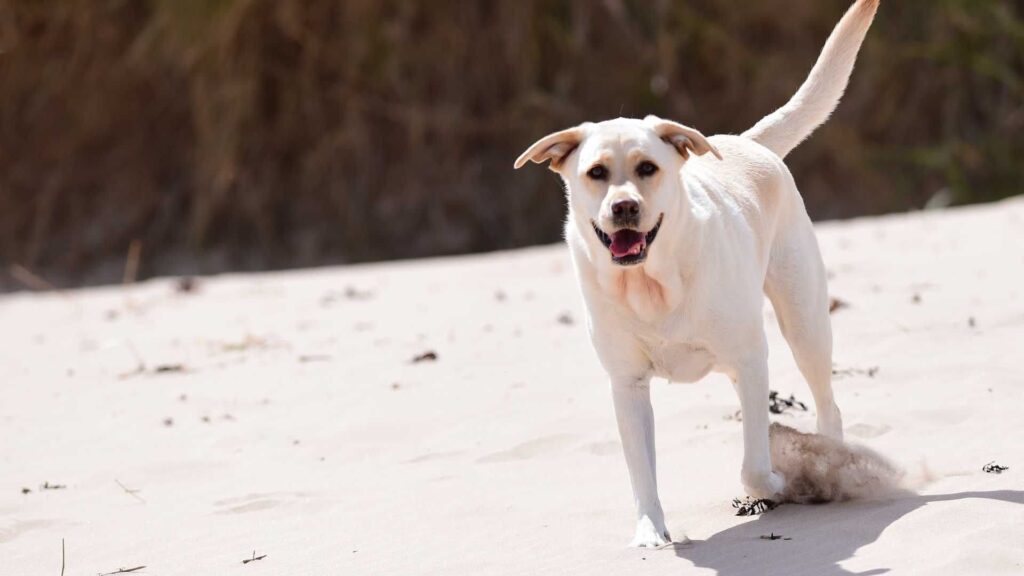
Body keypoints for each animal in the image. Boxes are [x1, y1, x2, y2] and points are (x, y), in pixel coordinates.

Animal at [512, 0, 880, 545]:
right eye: (596, 173)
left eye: (647, 168)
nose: (624, 208)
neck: (650, 284)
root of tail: (747, 142)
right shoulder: (627, 385)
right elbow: (641, 471)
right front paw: (650, 533)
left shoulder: (751, 357)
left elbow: (754, 465)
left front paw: (777, 481)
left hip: (805, 323)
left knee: (826, 404)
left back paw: (828, 463)